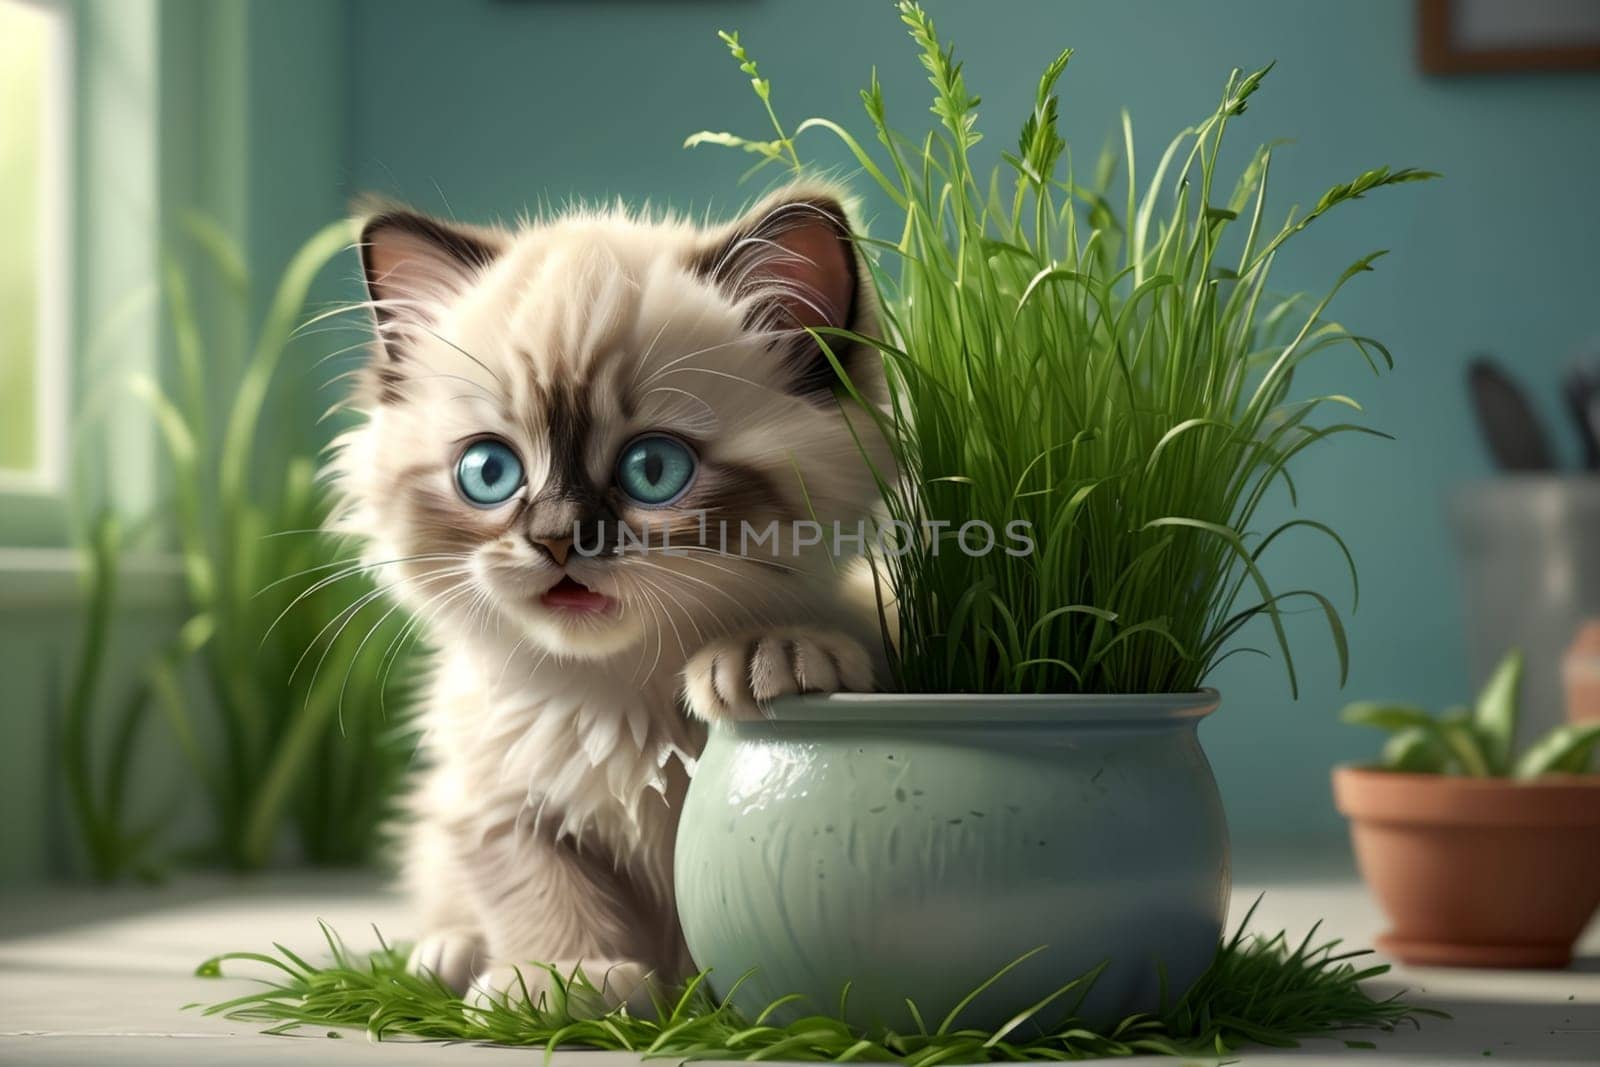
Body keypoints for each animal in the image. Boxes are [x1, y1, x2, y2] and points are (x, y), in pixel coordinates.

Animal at [331, 183, 896, 1011]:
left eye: (653, 469)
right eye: (489, 472)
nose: (558, 539)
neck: (616, 696)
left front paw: (770, 650)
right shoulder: (488, 800)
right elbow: (534, 886)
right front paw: (561, 977)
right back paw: (445, 954)